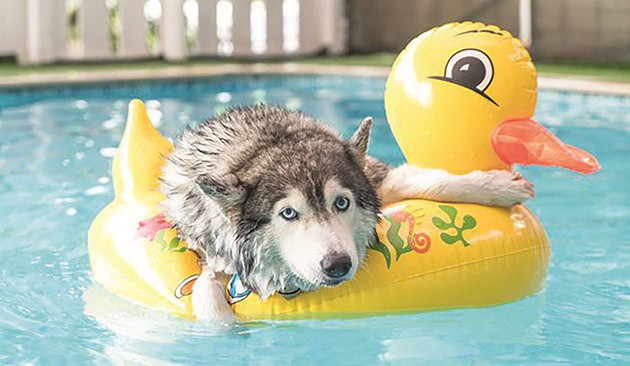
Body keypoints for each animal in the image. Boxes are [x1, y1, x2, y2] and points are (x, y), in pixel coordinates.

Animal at [160, 104, 536, 322]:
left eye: (342, 203)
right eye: (288, 213)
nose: (337, 265)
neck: (265, 144)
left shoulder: (378, 179)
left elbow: (430, 181)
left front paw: (497, 186)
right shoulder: (213, 253)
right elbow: (206, 296)